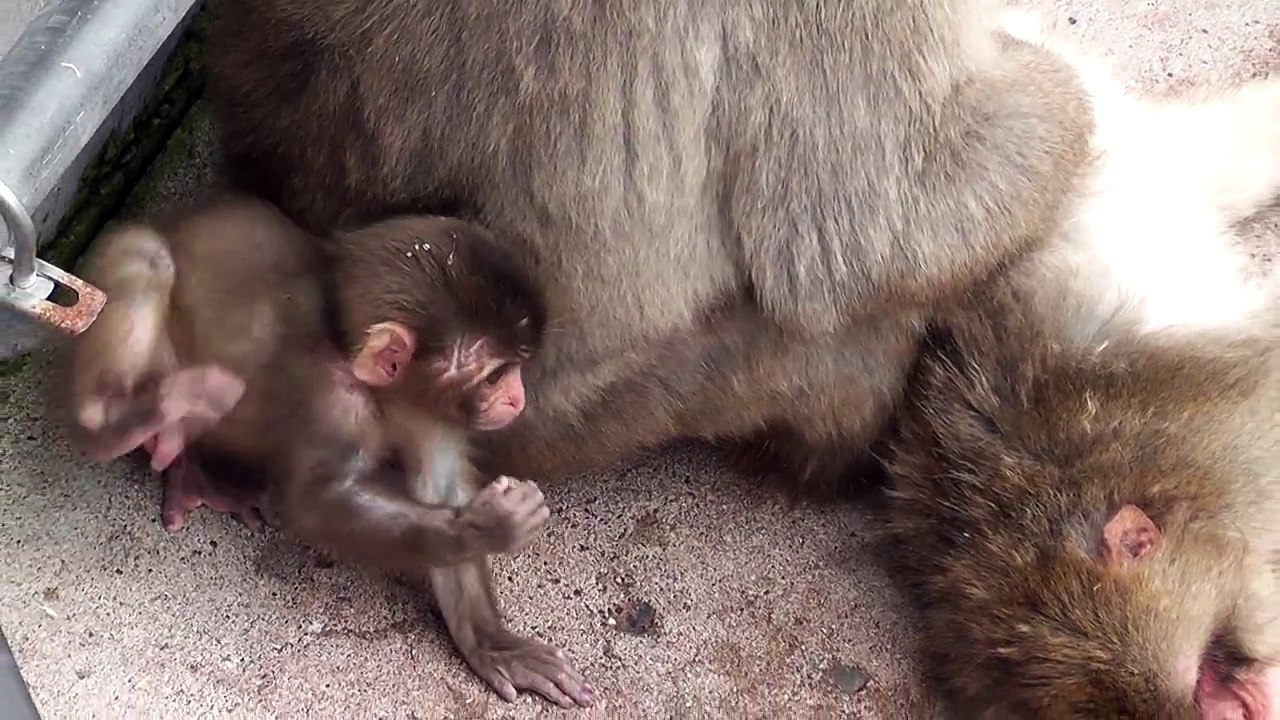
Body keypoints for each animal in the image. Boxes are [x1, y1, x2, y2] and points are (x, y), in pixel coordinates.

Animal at [62, 196, 593, 707]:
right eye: (495, 375)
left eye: (515, 369)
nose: (517, 399)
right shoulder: (332, 402)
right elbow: (317, 504)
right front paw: (487, 526)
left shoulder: (431, 413)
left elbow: (441, 489)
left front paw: (492, 643)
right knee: (147, 258)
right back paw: (117, 423)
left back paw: (193, 467)